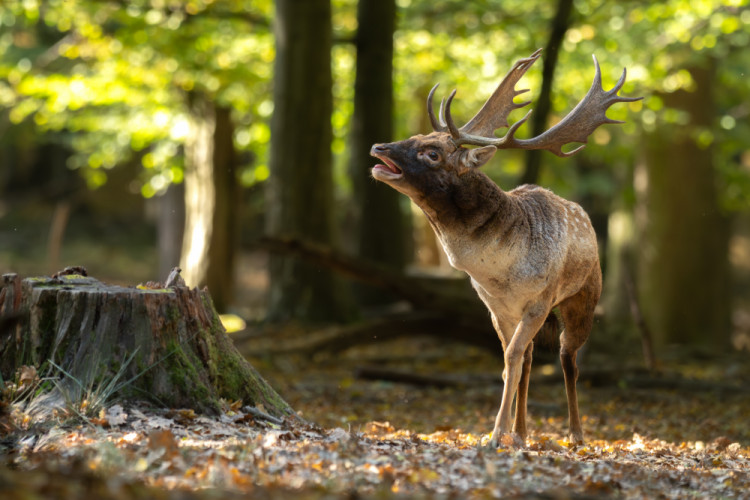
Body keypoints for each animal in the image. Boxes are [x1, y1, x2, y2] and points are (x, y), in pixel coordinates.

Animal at [370, 48, 640, 446]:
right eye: (416, 135)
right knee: (530, 358)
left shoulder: (540, 300)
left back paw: (575, 433)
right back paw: (523, 432)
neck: (498, 271)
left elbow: (513, 359)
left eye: (432, 153)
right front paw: (505, 432)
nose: (379, 146)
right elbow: (509, 361)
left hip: (584, 295)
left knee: (568, 358)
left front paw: (496, 435)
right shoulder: (495, 306)